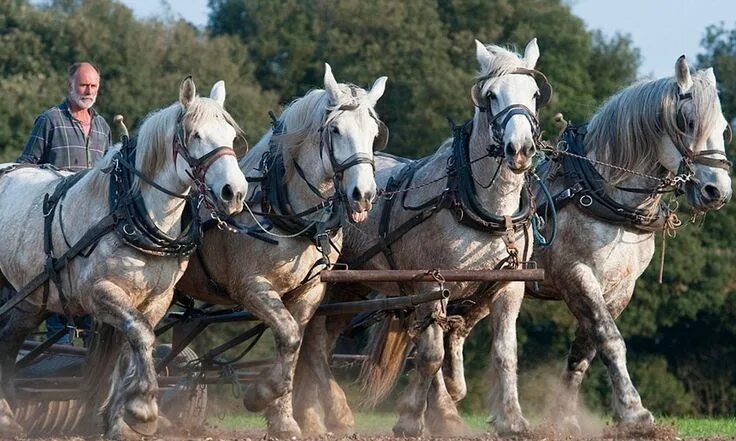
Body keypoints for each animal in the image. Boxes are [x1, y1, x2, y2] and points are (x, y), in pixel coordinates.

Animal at [0, 77, 247, 438]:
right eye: (196, 135)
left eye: (231, 137)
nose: (235, 192)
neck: (128, 210)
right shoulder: (99, 292)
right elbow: (141, 336)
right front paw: (143, 408)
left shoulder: (156, 299)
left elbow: (130, 349)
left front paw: (117, 419)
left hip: (30, 299)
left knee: (8, 340)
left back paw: (6, 415)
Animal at [176, 62, 388, 436]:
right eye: (336, 130)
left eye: (374, 133)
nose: (363, 194)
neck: (283, 211)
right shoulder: (251, 287)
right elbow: (289, 338)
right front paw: (260, 395)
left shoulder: (308, 292)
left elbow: (292, 346)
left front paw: (283, 419)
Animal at [290, 38, 548, 436]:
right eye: (490, 96)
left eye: (534, 94)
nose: (519, 149)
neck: (484, 207)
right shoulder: (431, 284)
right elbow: (430, 355)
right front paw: (414, 418)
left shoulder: (508, 287)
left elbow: (505, 354)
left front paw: (511, 420)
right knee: (315, 339)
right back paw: (331, 412)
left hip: (352, 286)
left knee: (321, 336)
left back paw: (311, 413)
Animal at [432, 55, 732, 434]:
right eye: (687, 121)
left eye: (724, 127)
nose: (717, 191)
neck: (604, 192)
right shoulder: (576, 275)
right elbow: (609, 339)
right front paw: (634, 412)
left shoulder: (619, 288)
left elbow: (584, 351)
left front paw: (565, 417)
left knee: (456, 328)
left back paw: (458, 392)